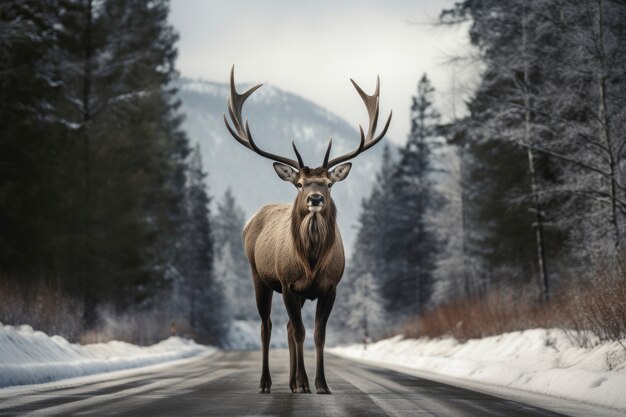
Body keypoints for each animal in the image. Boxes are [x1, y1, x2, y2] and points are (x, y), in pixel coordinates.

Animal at [224, 66, 390, 394]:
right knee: (267, 327)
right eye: (299, 183)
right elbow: (300, 332)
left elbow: (316, 334)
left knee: (288, 327)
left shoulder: (330, 287)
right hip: (258, 276)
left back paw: (291, 382)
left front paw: (320, 384)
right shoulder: (288, 284)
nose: (315, 198)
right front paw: (304, 384)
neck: (311, 261)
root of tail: (251, 220)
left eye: (328, 183)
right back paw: (267, 383)